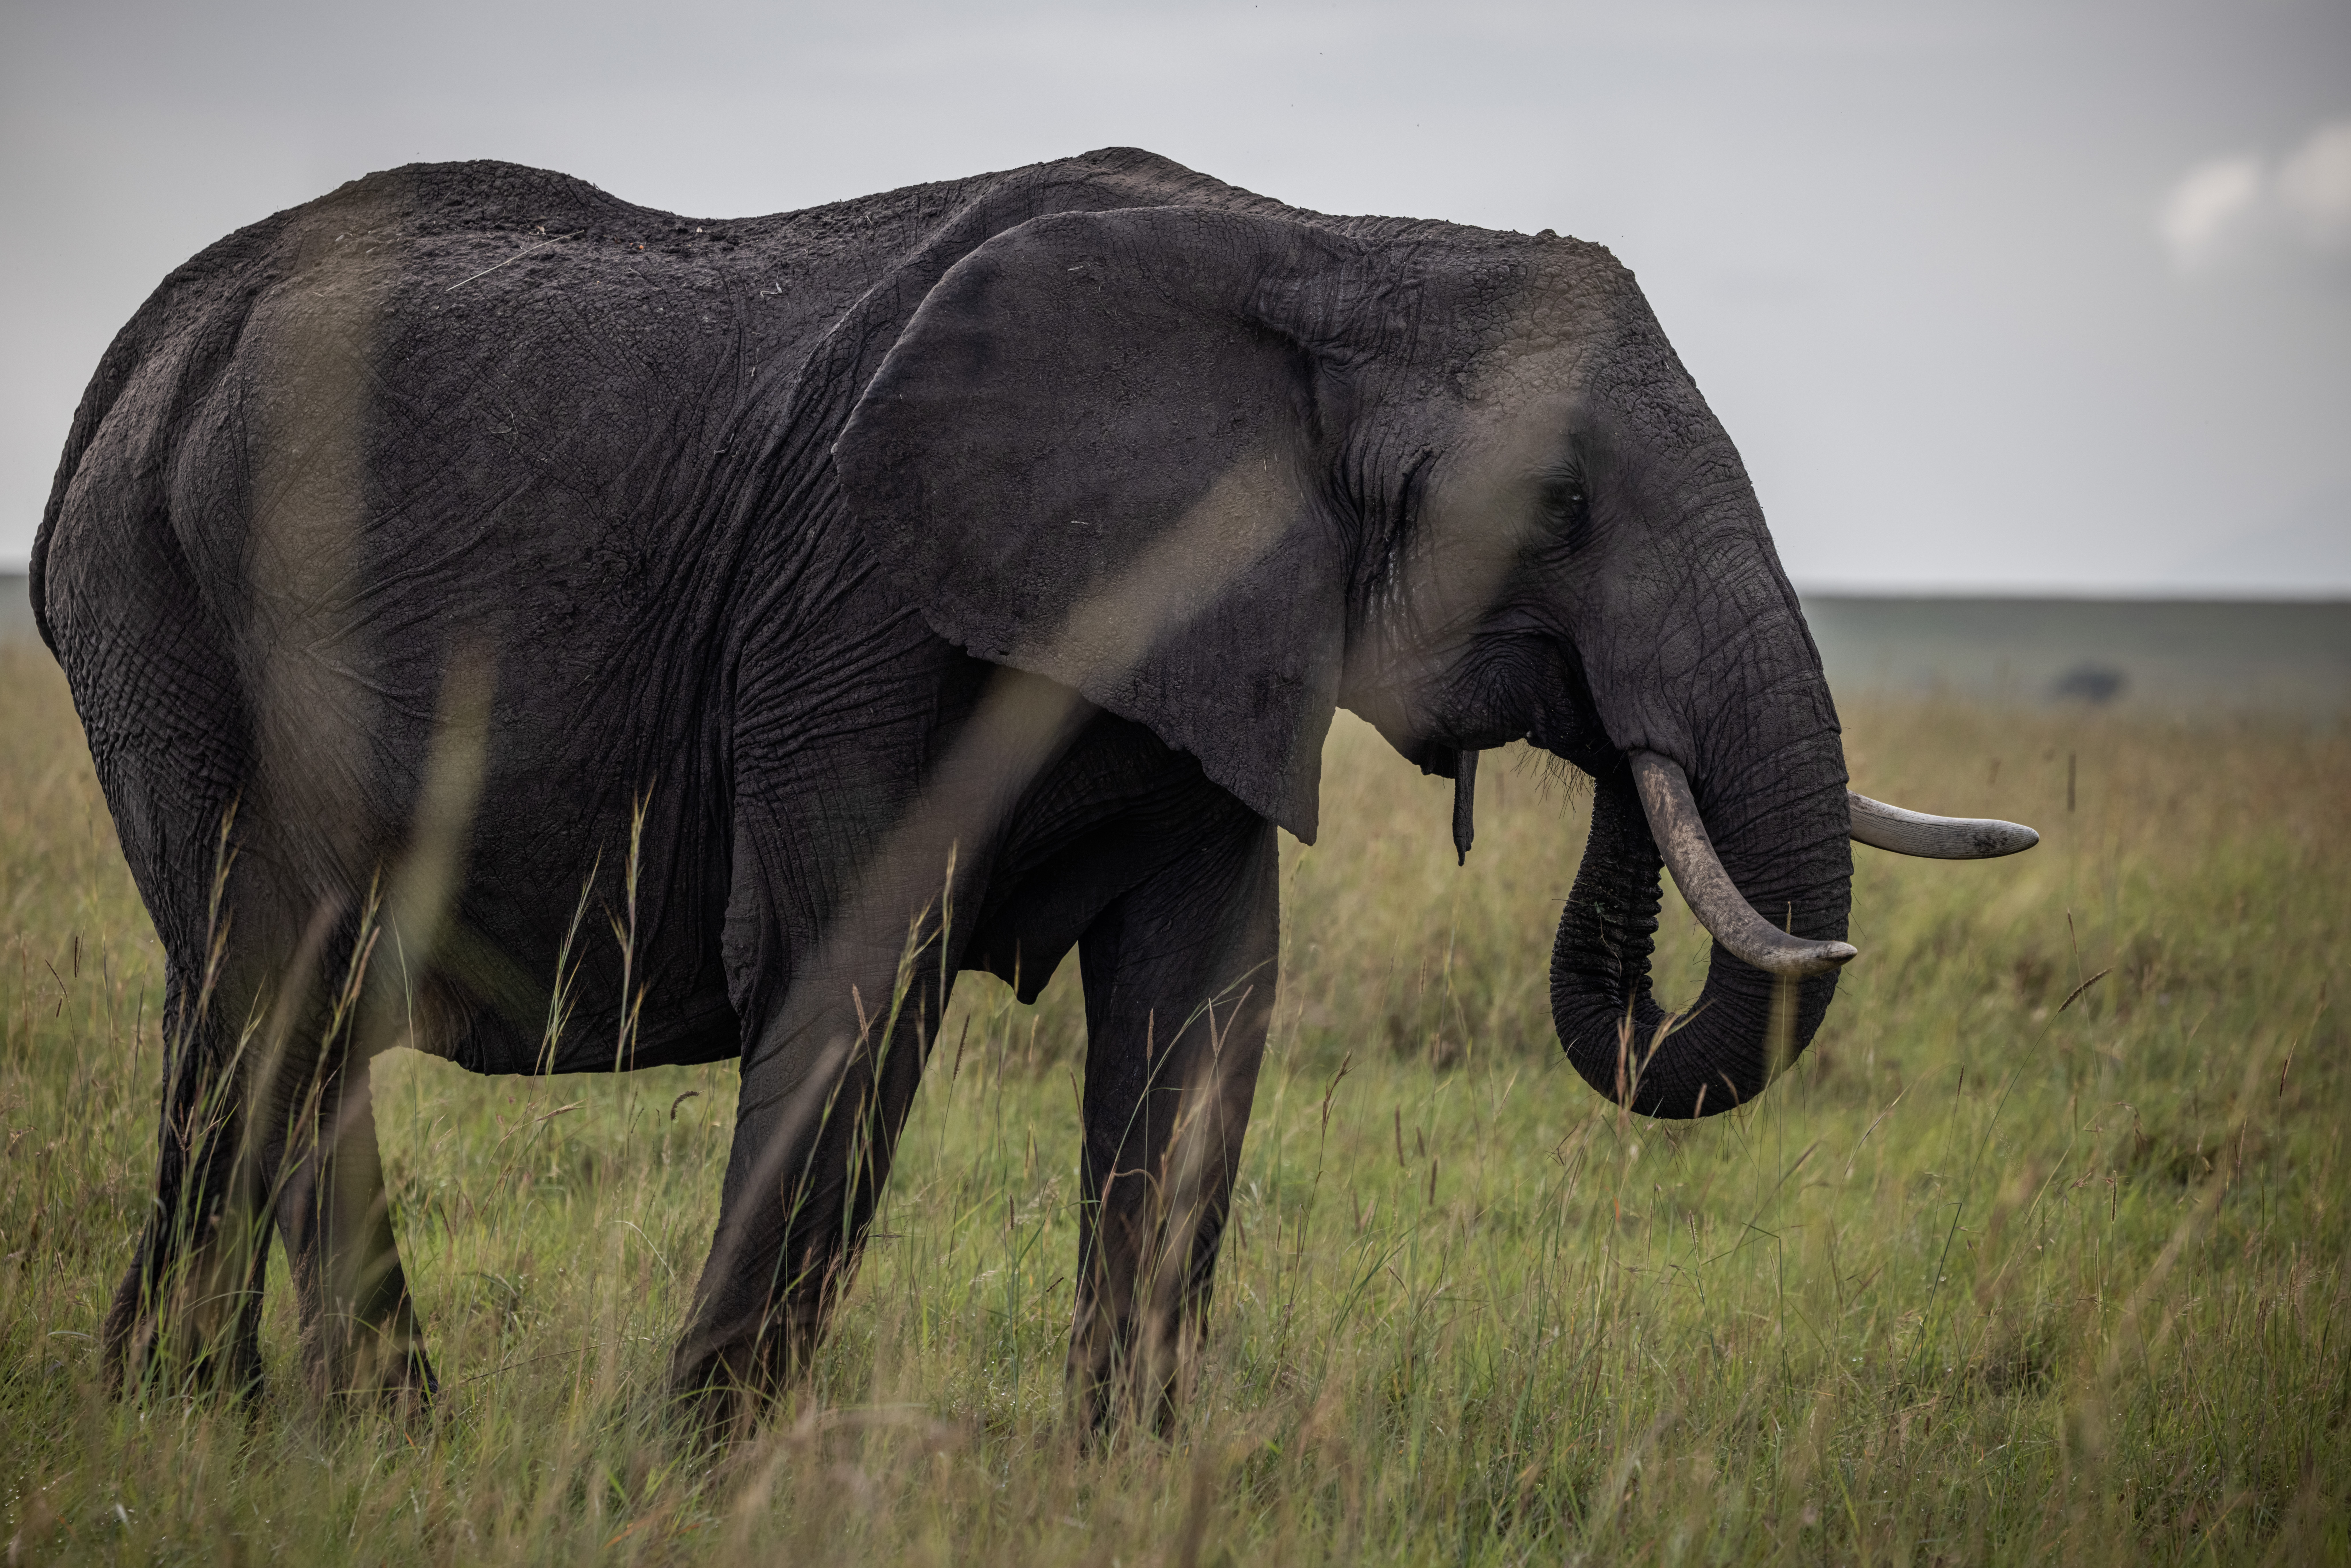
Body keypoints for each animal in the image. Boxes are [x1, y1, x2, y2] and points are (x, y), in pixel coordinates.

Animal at [30, 147, 2034, 1430]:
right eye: (1554, 508)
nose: (1617, 747)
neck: (1333, 252)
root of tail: (127, 361)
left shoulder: (1221, 642)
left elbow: (1203, 1012)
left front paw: (1126, 1472)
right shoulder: (854, 594)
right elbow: (858, 983)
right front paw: (682, 1466)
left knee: (250, 1020)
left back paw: (261, 1419)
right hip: (170, 613)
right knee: (279, 1000)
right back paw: (298, 1424)